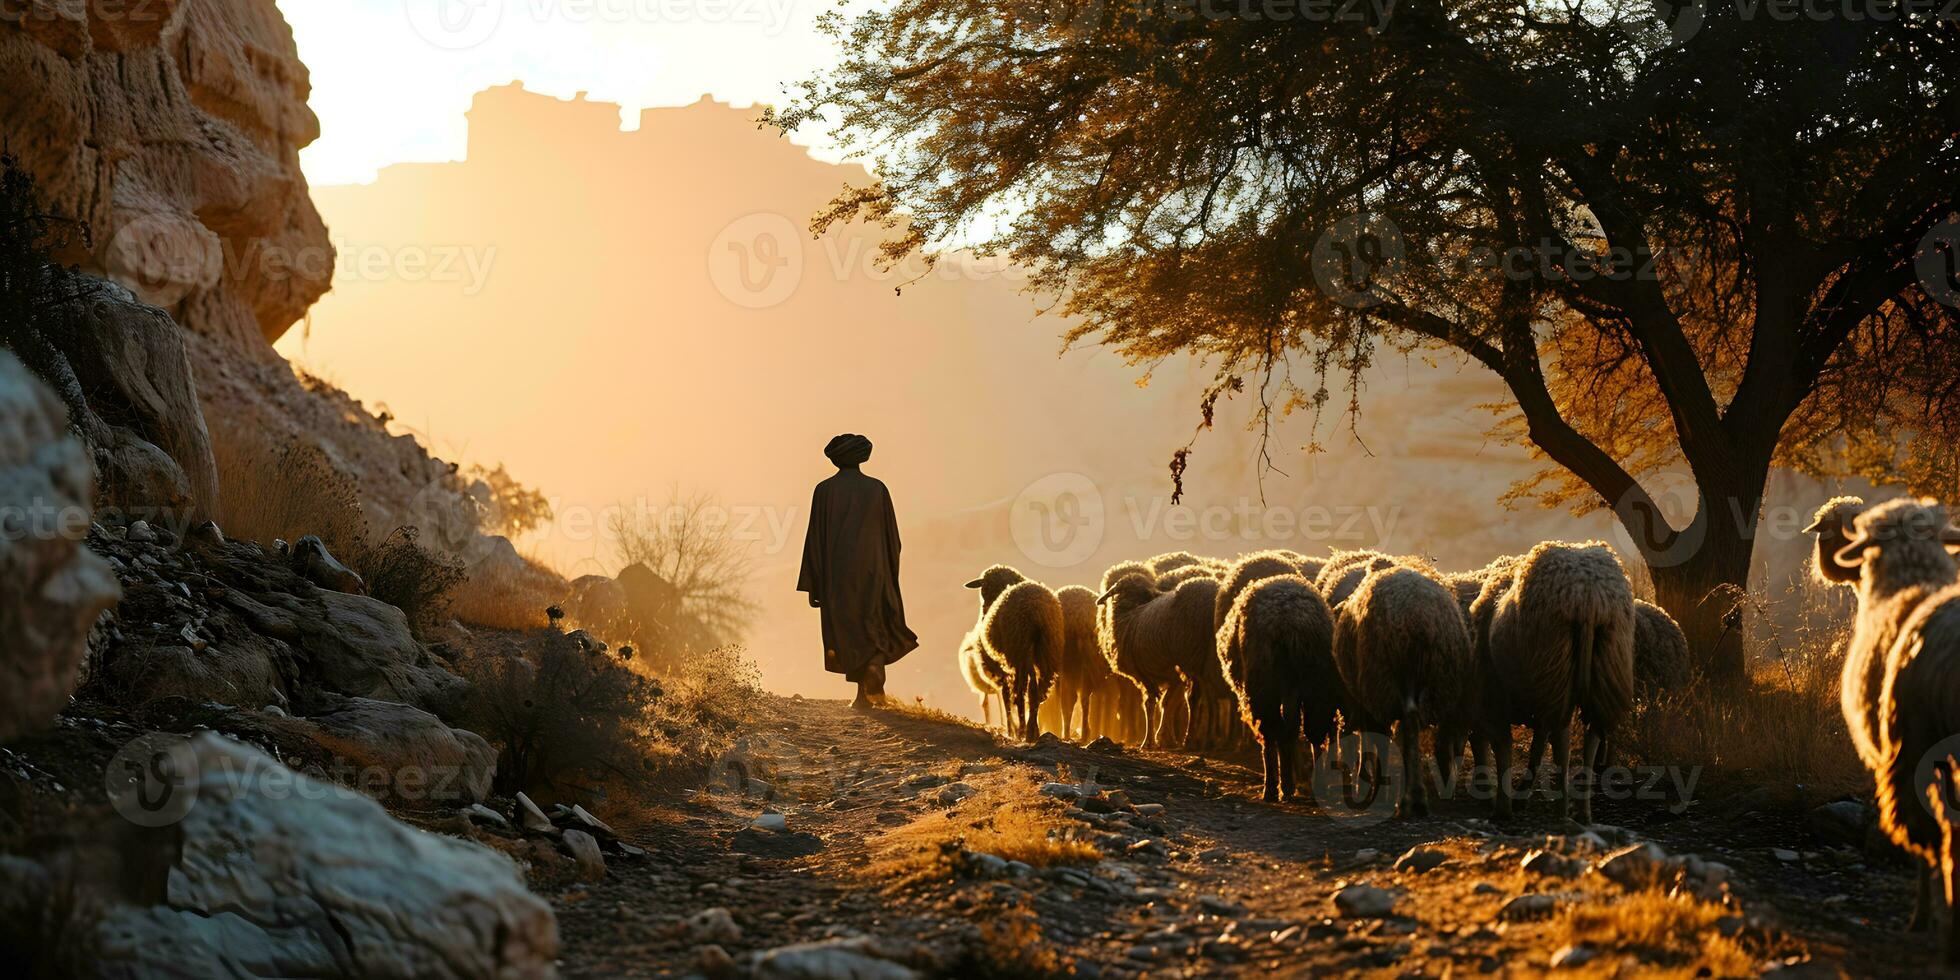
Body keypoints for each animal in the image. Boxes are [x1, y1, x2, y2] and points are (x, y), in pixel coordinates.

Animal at [960, 568, 1066, 740]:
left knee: (1026, 690)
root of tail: (1036, 612)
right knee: (1038, 692)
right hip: (1047, 652)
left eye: (984, 590)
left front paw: (1011, 731)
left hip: (1021, 650)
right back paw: (1032, 729)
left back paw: (1026, 730)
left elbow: (1006, 696)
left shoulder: (1003, 668)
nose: (985, 611)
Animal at [1215, 572, 1340, 803]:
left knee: (1273, 731)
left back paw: (1275, 788)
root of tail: (1290, 624)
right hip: (1315, 685)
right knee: (1311, 732)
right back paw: (1312, 786)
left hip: (1263, 687)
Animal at [1332, 568, 1473, 819]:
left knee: (1399, 730)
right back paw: (1418, 796)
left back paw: (1406, 798)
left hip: (1384, 679)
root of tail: (1415, 619)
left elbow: (1377, 740)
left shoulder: (1369, 700)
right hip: (1435, 684)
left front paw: (1374, 786)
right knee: (1418, 728)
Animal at [1473, 540, 1638, 823]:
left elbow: (1504, 745)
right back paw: (1582, 810)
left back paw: (1562, 810)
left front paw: (1503, 807)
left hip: (1555, 672)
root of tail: (1588, 597)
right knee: (1592, 735)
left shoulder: (1495, 693)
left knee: (1561, 741)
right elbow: (1536, 747)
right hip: (1605, 664)